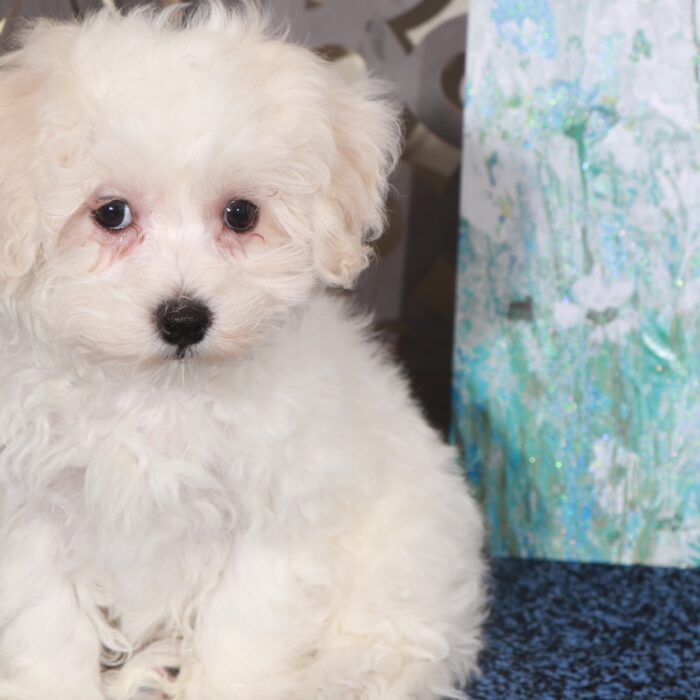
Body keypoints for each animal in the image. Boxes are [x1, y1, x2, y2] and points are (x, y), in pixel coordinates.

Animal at [0, 5, 484, 700]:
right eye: (110, 213)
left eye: (241, 214)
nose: (185, 319)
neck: (157, 392)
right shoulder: (27, 512)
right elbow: (48, 628)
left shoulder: (274, 513)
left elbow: (243, 633)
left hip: (408, 560)